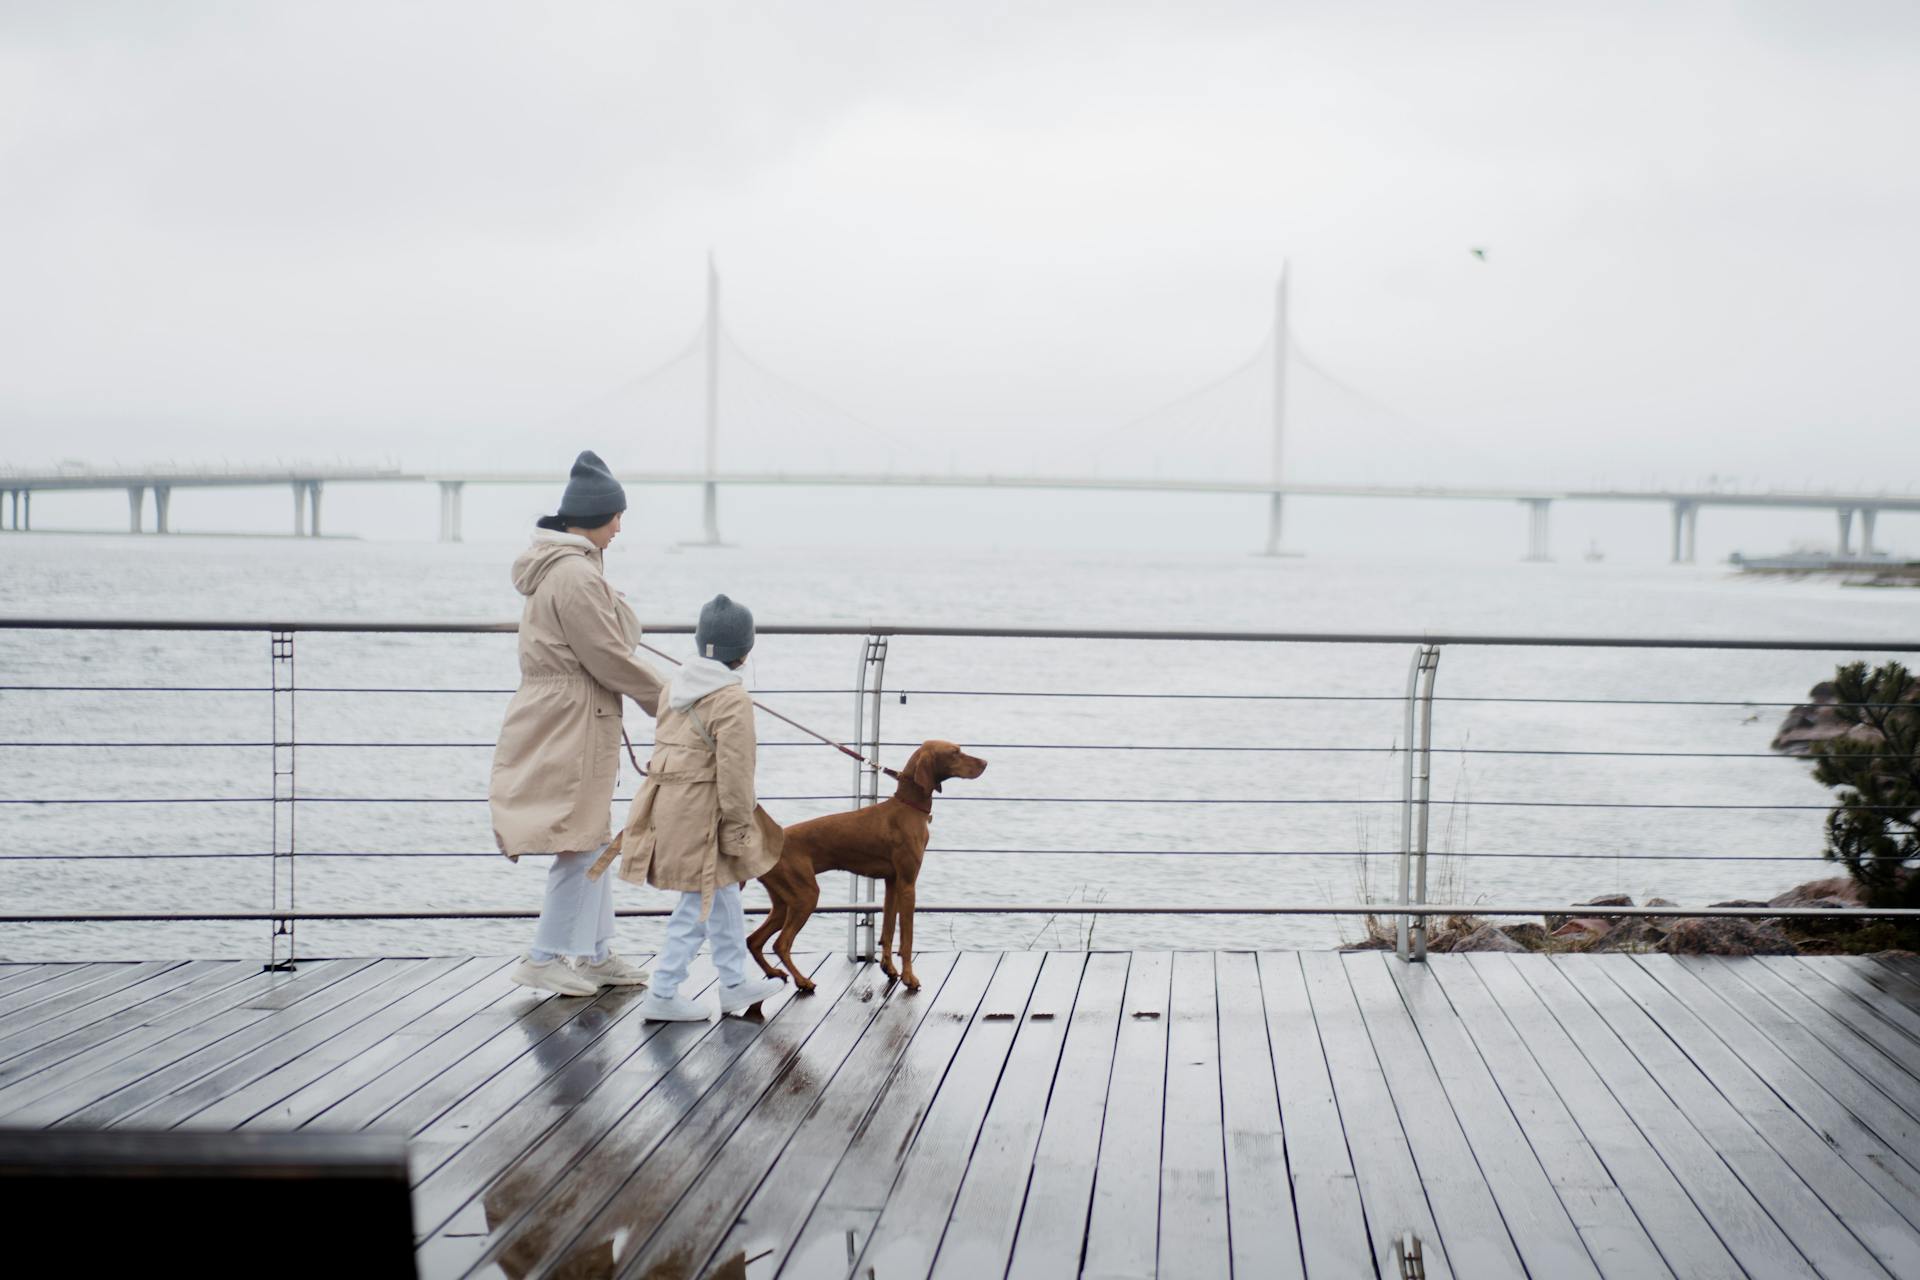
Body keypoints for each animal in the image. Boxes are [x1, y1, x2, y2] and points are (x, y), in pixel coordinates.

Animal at [748, 740, 990, 990]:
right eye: (955, 753)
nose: (985, 762)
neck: (908, 806)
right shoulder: (907, 884)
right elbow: (907, 939)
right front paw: (909, 977)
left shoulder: (892, 883)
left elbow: (888, 930)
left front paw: (889, 968)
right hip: (805, 897)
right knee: (780, 944)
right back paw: (803, 981)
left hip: (783, 904)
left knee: (753, 940)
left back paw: (773, 972)